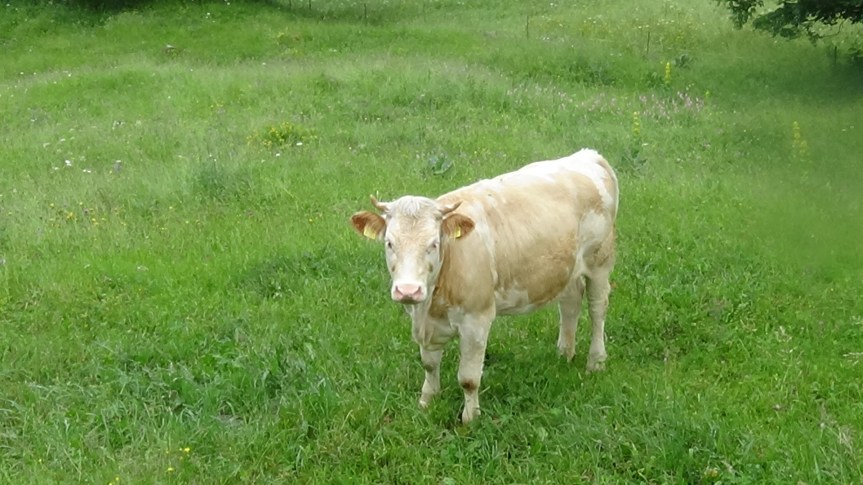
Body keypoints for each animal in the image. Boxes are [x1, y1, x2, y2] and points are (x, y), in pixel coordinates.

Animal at [350, 148, 618, 423]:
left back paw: (596, 361)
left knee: (597, 309)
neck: (431, 305)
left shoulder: (476, 320)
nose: (408, 290)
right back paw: (564, 353)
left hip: (600, 260)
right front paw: (426, 401)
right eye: (389, 243)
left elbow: (468, 379)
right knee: (570, 303)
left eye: (434, 243)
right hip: (567, 268)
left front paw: (470, 418)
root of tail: (588, 155)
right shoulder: (423, 321)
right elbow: (429, 364)